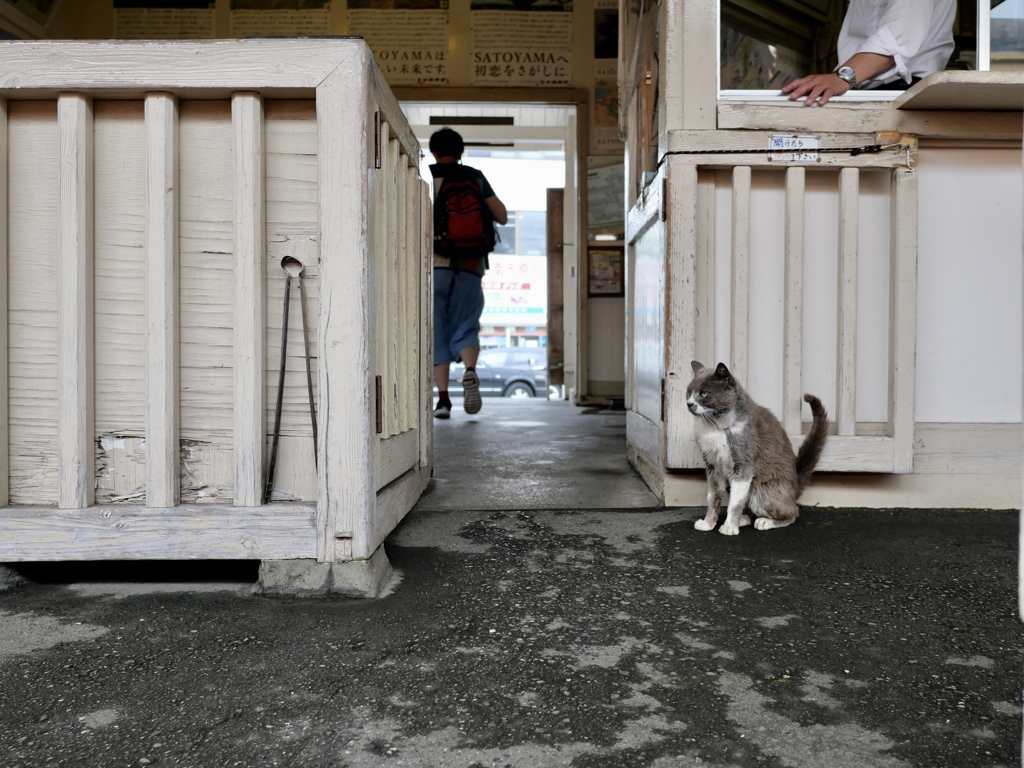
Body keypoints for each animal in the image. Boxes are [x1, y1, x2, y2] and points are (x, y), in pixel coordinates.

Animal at [684, 362, 827, 536]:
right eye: (689, 392)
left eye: (704, 394)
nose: (689, 404)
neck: (716, 427)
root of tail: (795, 488)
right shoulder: (713, 466)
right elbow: (713, 497)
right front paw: (707, 523)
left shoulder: (743, 465)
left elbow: (735, 503)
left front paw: (729, 526)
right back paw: (744, 519)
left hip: (762, 490)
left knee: (792, 512)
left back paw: (764, 521)